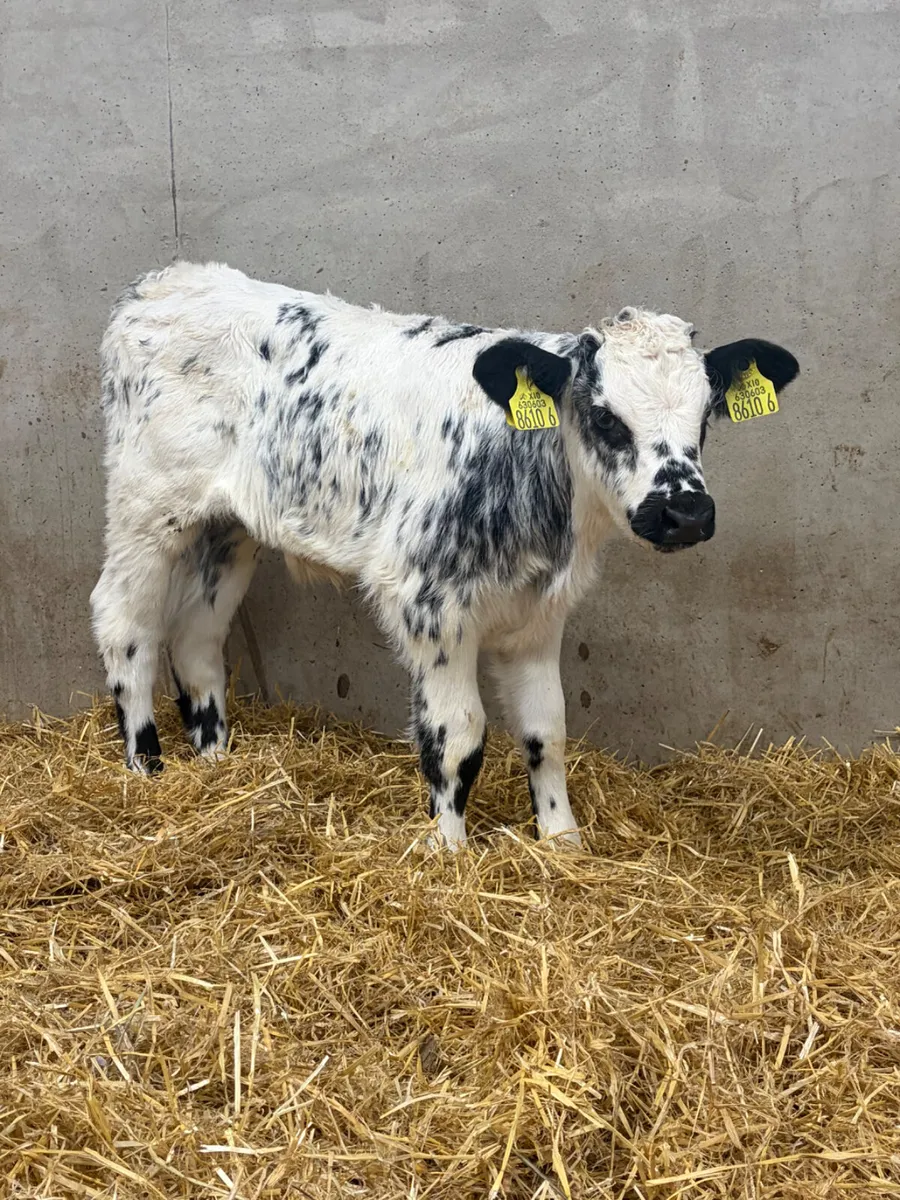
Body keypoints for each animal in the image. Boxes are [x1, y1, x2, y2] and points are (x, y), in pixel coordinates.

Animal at [90, 262, 799, 848]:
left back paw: (216, 766)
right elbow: (456, 736)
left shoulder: (539, 612)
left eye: (707, 415)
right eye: (605, 417)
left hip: (226, 529)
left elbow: (547, 729)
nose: (686, 512)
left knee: (197, 641)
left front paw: (562, 842)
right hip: (145, 508)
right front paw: (449, 852)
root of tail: (166, 280)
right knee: (125, 624)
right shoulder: (428, 601)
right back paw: (146, 769)